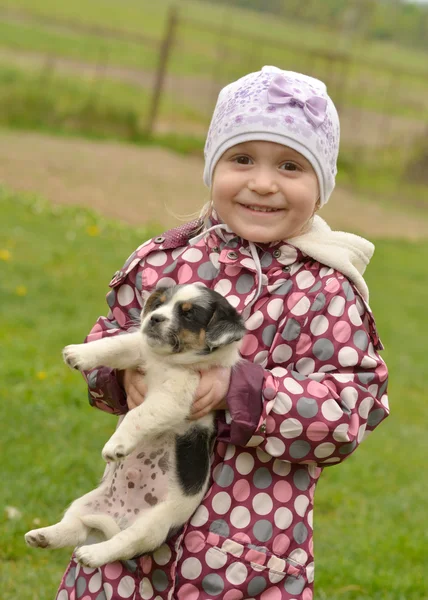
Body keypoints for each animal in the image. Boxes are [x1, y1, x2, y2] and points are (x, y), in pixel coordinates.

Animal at [24, 284, 244, 568]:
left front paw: (115, 446)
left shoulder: (173, 399)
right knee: (75, 527)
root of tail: (119, 517)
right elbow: (114, 344)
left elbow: (137, 416)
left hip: (151, 526)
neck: (167, 361)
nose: (154, 319)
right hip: (86, 502)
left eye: (188, 314)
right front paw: (78, 353)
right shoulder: (139, 350)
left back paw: (92, 554)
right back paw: (43, 536)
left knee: (122, 542)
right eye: (159, 304)